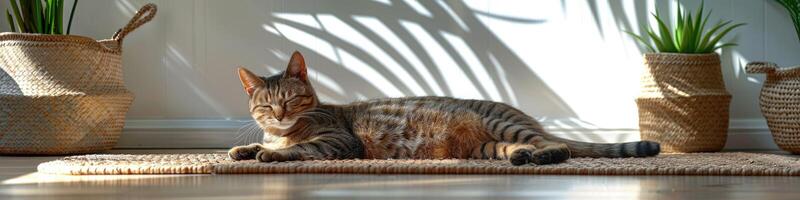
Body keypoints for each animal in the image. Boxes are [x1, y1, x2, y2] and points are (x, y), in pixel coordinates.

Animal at [228, 51, 660, 166]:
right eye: (265, 105)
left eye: (289, 100)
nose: (279, 115)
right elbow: (262, 145)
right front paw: (244, 148)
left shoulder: (339, 142)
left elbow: (300, 148)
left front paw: (269, 153)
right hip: (487, 146)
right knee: (524, 148)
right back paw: (522, 158)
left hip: (500, 125)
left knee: (562, 147)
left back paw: (545, 155)